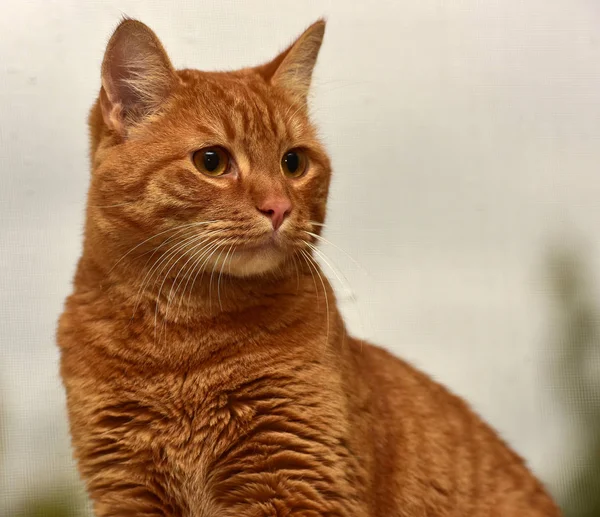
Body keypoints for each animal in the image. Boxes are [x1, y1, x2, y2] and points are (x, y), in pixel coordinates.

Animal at [58, 18, 560, 512]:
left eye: (293, 162)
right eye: (211, 161)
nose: (278, 207)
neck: (181, 344)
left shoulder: (299, 479)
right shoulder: (128, 491)